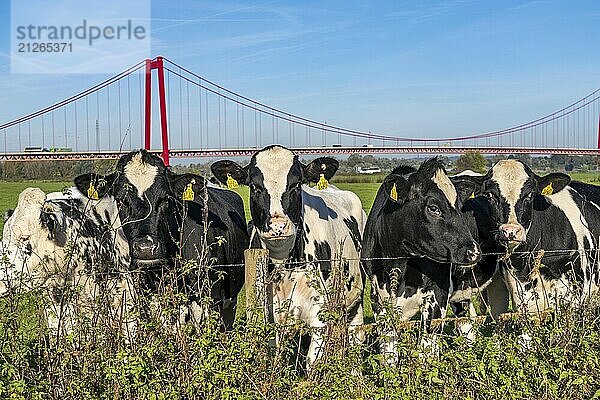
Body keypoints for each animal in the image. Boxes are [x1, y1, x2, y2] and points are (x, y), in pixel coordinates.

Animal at [211, 145, 366, 368]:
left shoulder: (320, 315)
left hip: (356, 293)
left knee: (356, 337)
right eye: (255, 187)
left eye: (296, 185)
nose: (278, 226)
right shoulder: (269, 315)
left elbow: (312, 361)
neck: (283, 262)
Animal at [360, 158, 488, 360]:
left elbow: (426, 350)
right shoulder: (378, 297)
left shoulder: (438, 294)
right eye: (433, 208)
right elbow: (389, 349)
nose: (473, 251)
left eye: (460, 207)